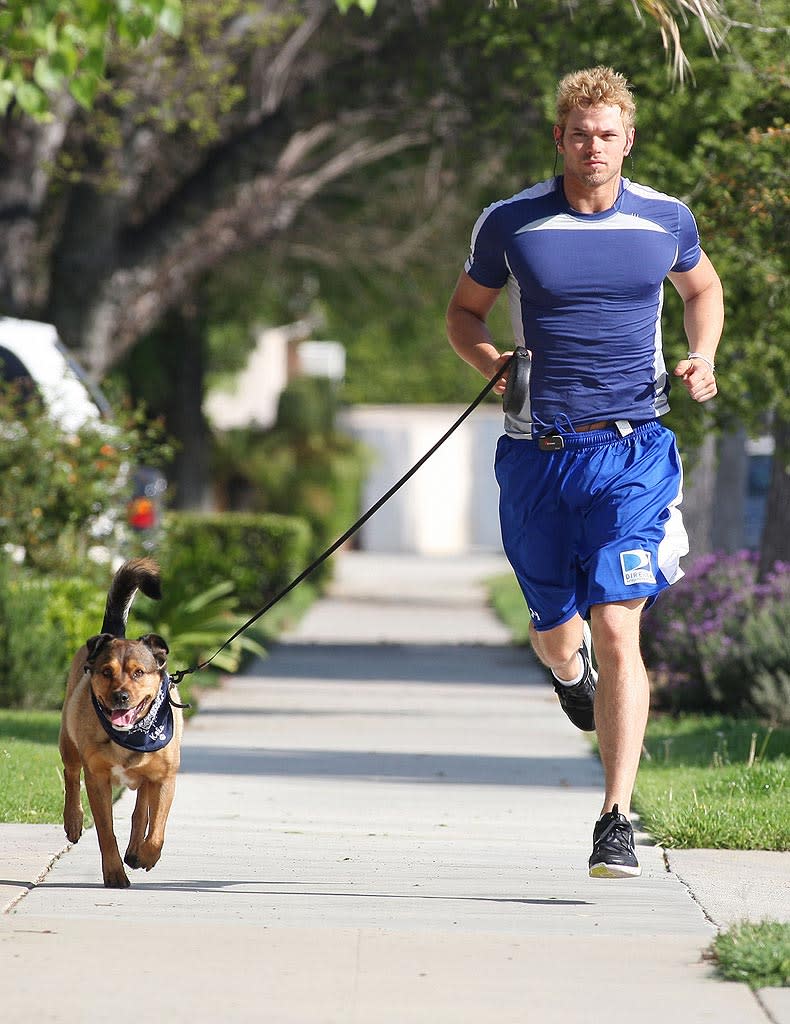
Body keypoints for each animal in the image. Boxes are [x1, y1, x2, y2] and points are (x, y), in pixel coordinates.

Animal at [59, 561, 183, 888]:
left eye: (139, 672)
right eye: (106, 671)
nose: (120, 696)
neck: (132, 734)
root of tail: (111, 632)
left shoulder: (165, 778)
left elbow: (156, 828)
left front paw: (147, 855)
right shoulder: (97, 778)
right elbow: (105, 832)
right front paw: (115, 873)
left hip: (149, 776)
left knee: (141, 810)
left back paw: (137, 851)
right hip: (68, 738)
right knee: (70, 774)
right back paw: (73, 821)